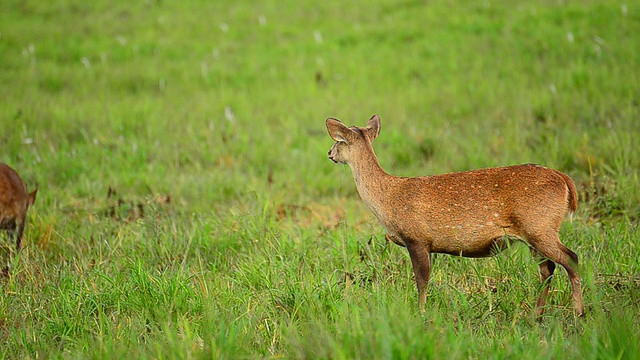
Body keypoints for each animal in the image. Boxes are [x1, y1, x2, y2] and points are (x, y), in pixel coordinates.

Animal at [328, 115, 584, 318]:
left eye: (338, 141)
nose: (329, 154)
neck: (388, 199)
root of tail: (565, 181)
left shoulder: (416, 238)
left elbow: (422, 281)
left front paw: (421, 313)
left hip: (539, 225)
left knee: (570, 258)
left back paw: (578, 312)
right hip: (534, 232)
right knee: (547, 268)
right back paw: (537, 315)